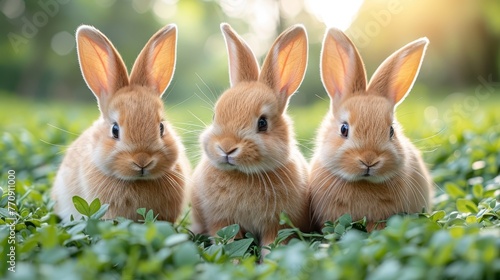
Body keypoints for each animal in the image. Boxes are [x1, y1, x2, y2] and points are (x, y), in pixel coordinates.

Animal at [190, 24, 310, 252]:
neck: (243, 175)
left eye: (262, 123)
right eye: (214, 116)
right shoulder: (221, 221)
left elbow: (272, 244)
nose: (226, 148)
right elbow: (228, 243)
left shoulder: (277, 224)